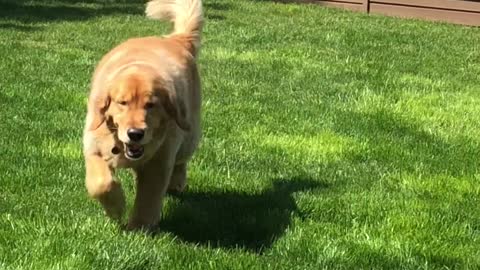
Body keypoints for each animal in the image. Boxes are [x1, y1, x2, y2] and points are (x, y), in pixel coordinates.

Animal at [82, 0, 202, 230]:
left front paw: (139, 227)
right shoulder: (93, 145)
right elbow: (101, 183)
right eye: (122, 102)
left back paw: (177, 182)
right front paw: (116, 208)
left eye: (151, 105)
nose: (135, 134)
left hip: (189, 133)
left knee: (182, 160)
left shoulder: (160, 161)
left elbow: (149, 197)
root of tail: (176, 40)